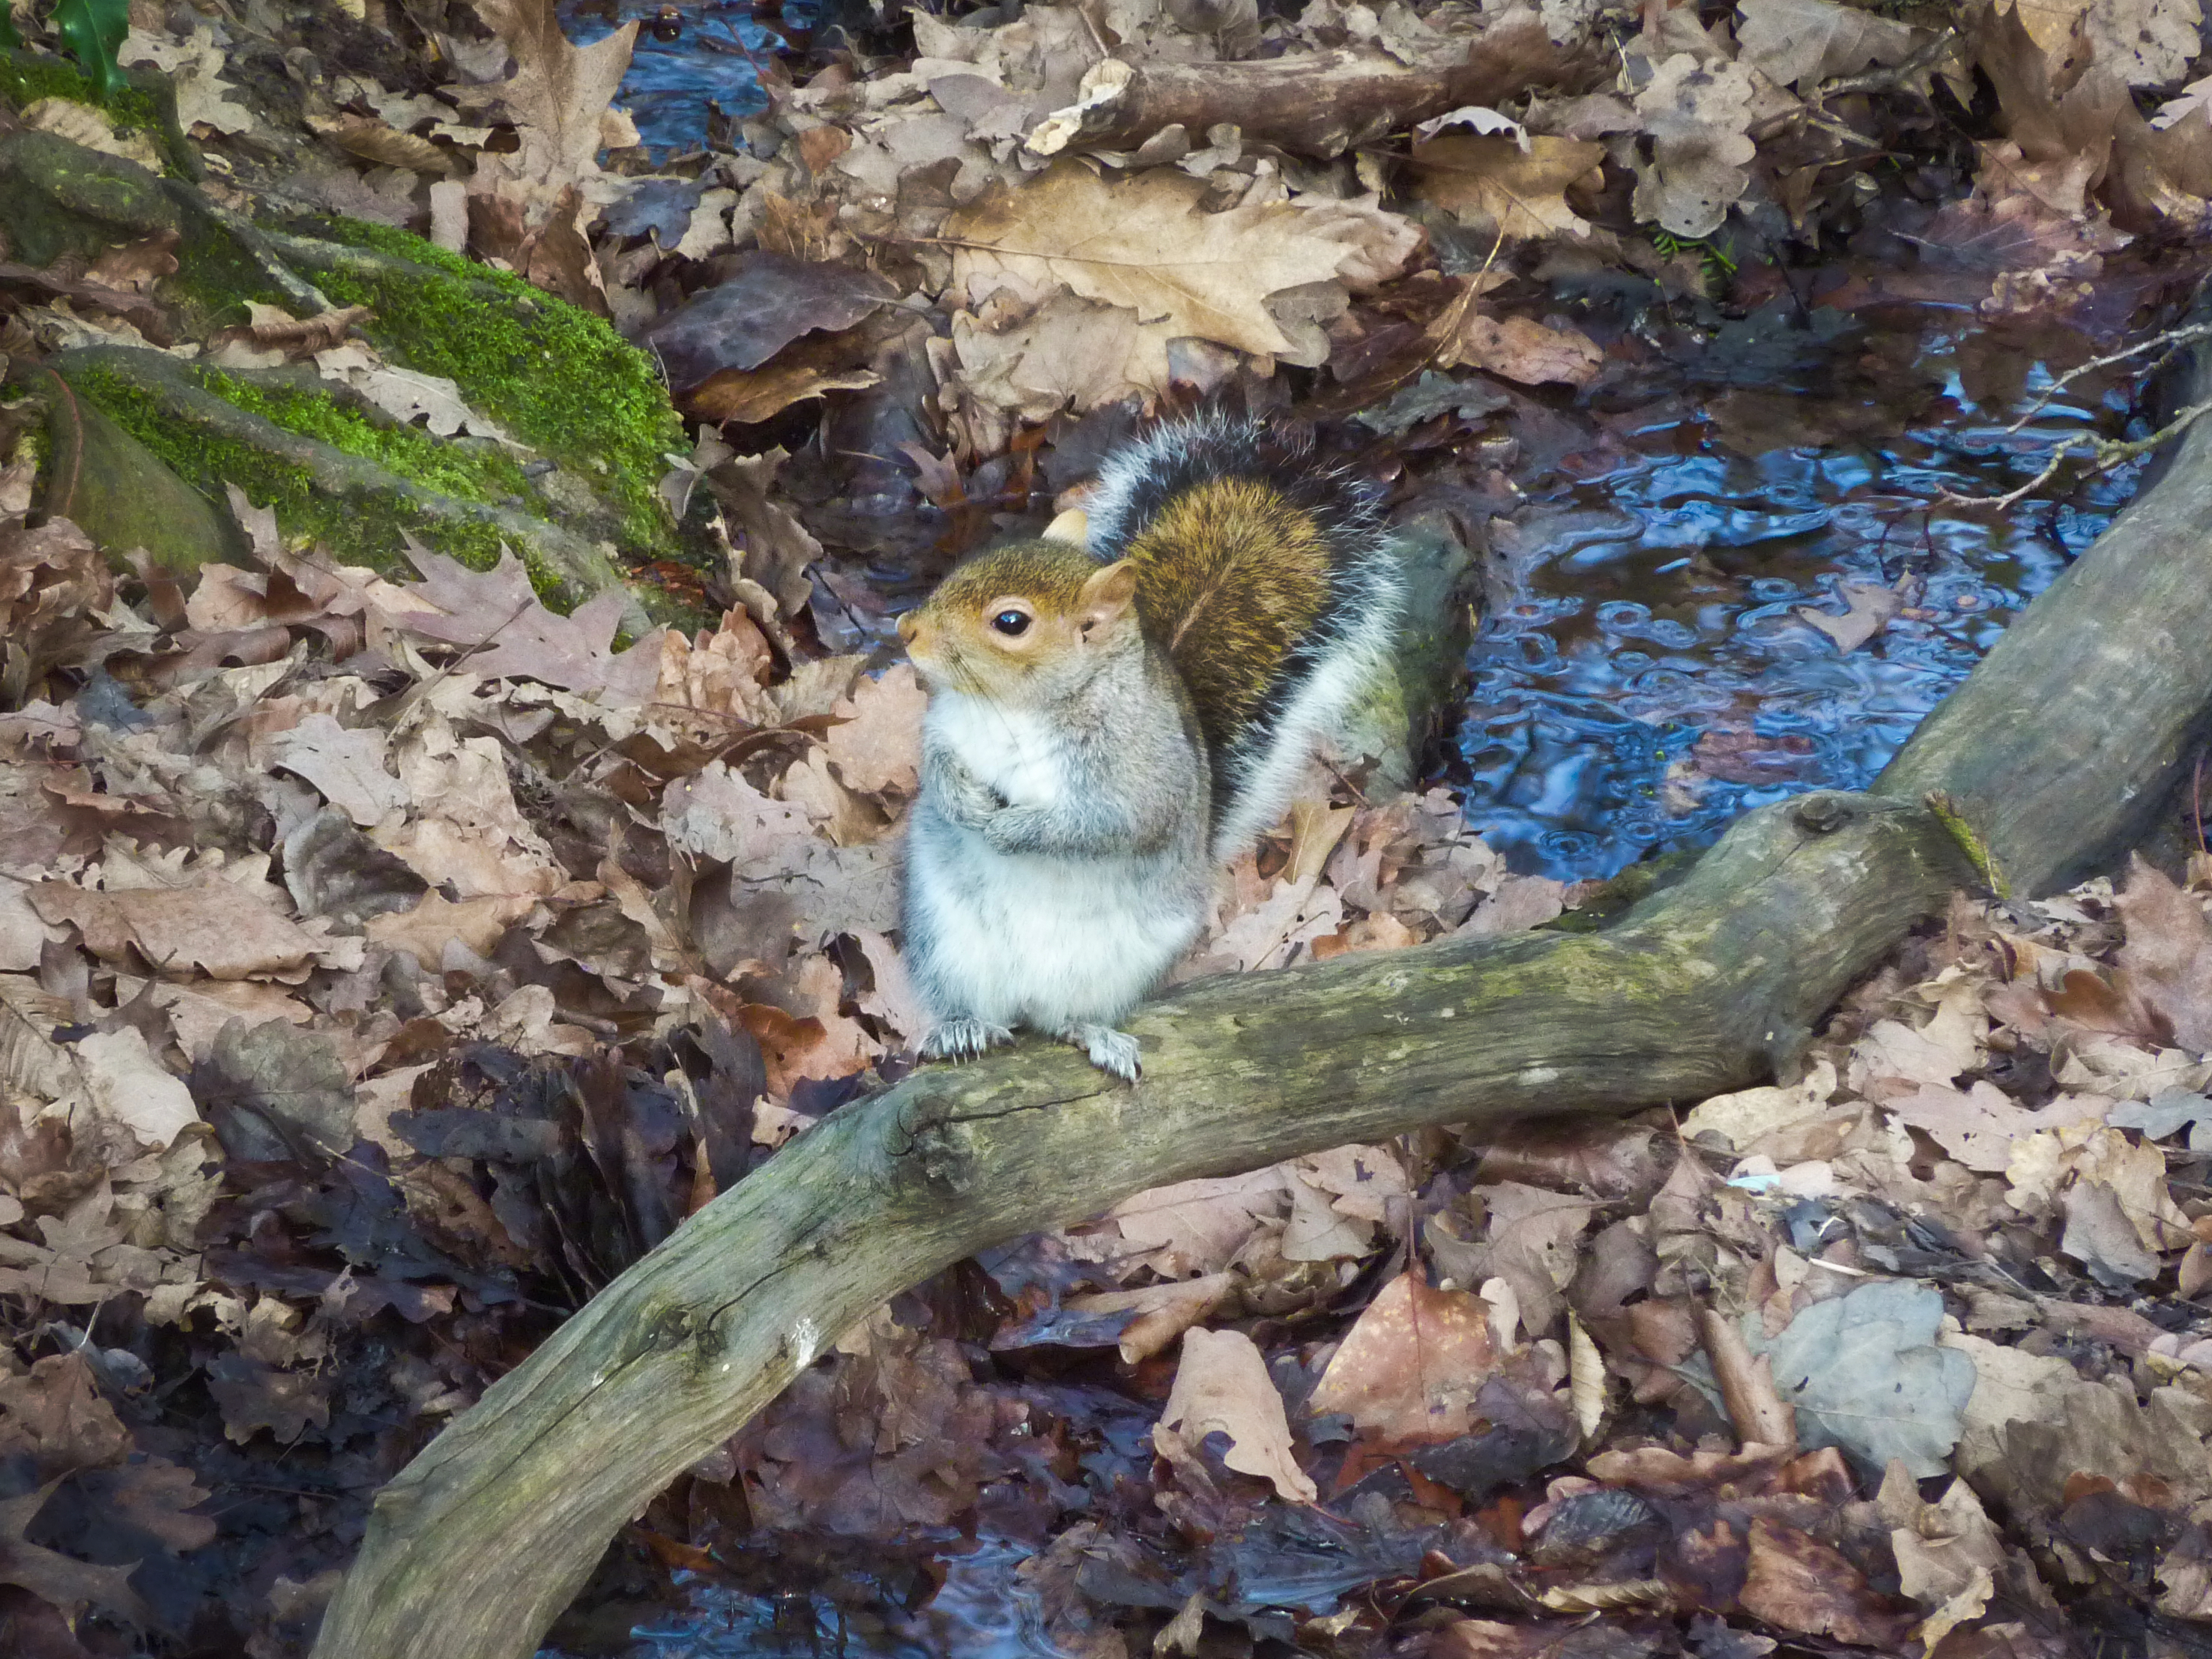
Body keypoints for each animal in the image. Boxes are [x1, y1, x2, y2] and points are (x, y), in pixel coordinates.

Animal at [884, 415, 1388, 1084]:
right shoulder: (945, 727)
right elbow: (936, 767)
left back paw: (1097, 1035)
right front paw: (960, 801)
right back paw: (964, 1029)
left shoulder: (1139, 775)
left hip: (1115, 966)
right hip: (948, 945)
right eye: (969, 564)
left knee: (1064, 1019)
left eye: (1011, 623)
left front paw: (1014, 830)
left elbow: (1106, 826)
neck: (1017, 709)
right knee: (977, 1006)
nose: (907, 630)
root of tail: (1024, 998)